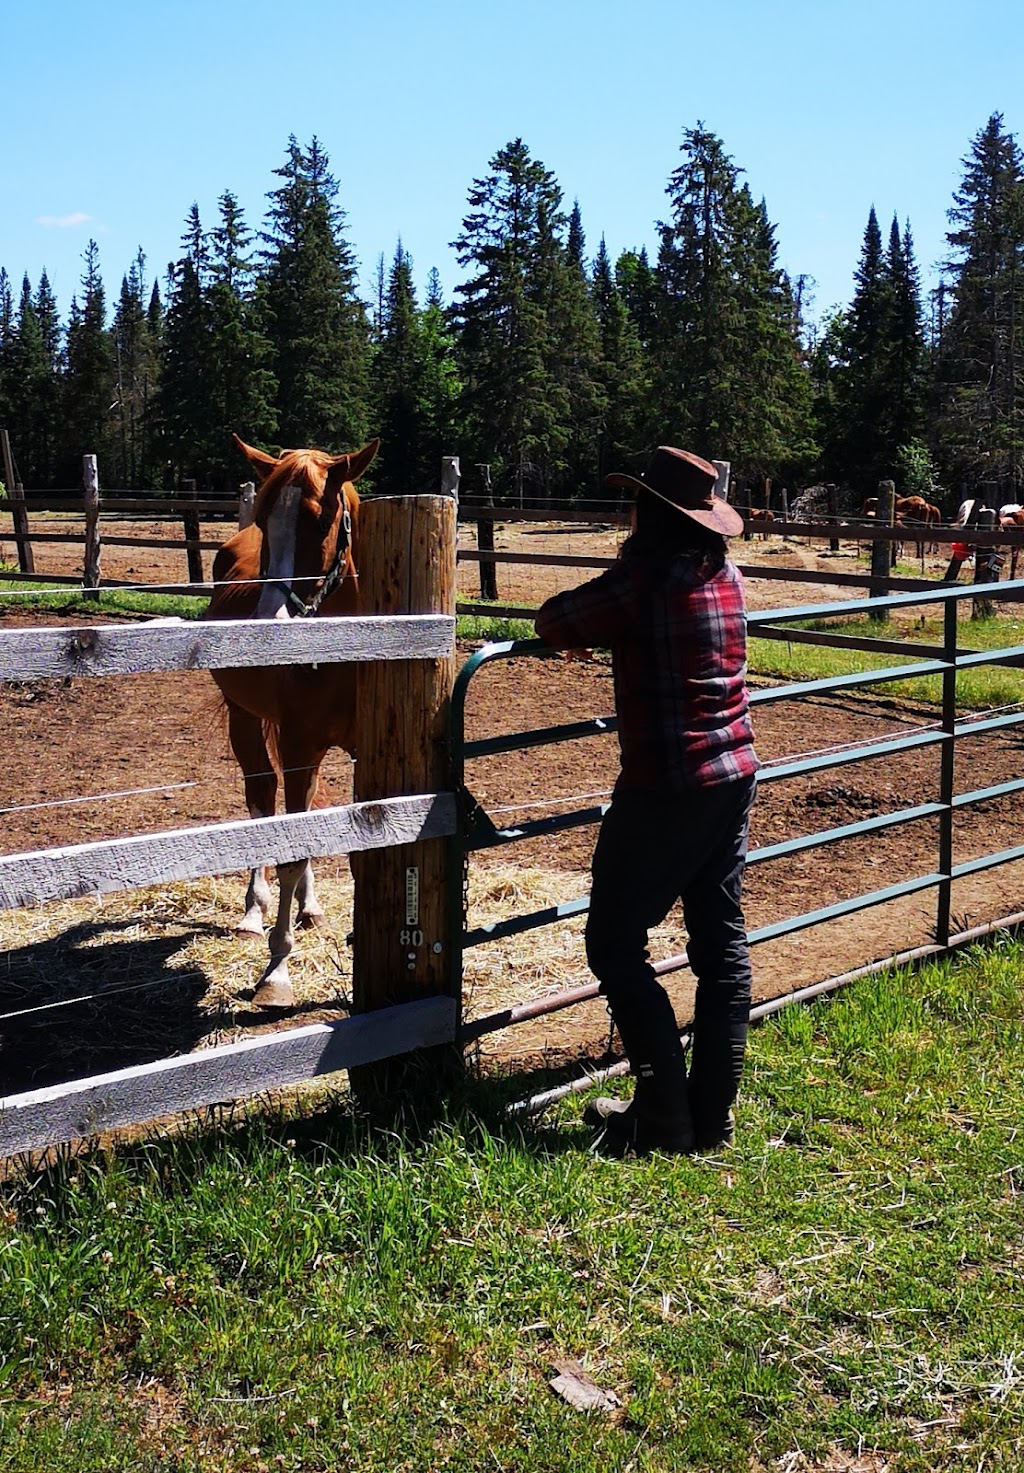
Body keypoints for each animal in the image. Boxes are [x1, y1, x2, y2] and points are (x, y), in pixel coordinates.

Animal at [206, 436, 377, 1007]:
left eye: (318, 519)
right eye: (265, 517)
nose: (267, 626)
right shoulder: (300, 745)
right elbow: (291, 851)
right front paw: (277, 971)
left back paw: (311, 907)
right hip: (245, 722)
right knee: (261, 802)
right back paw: (253, 913)